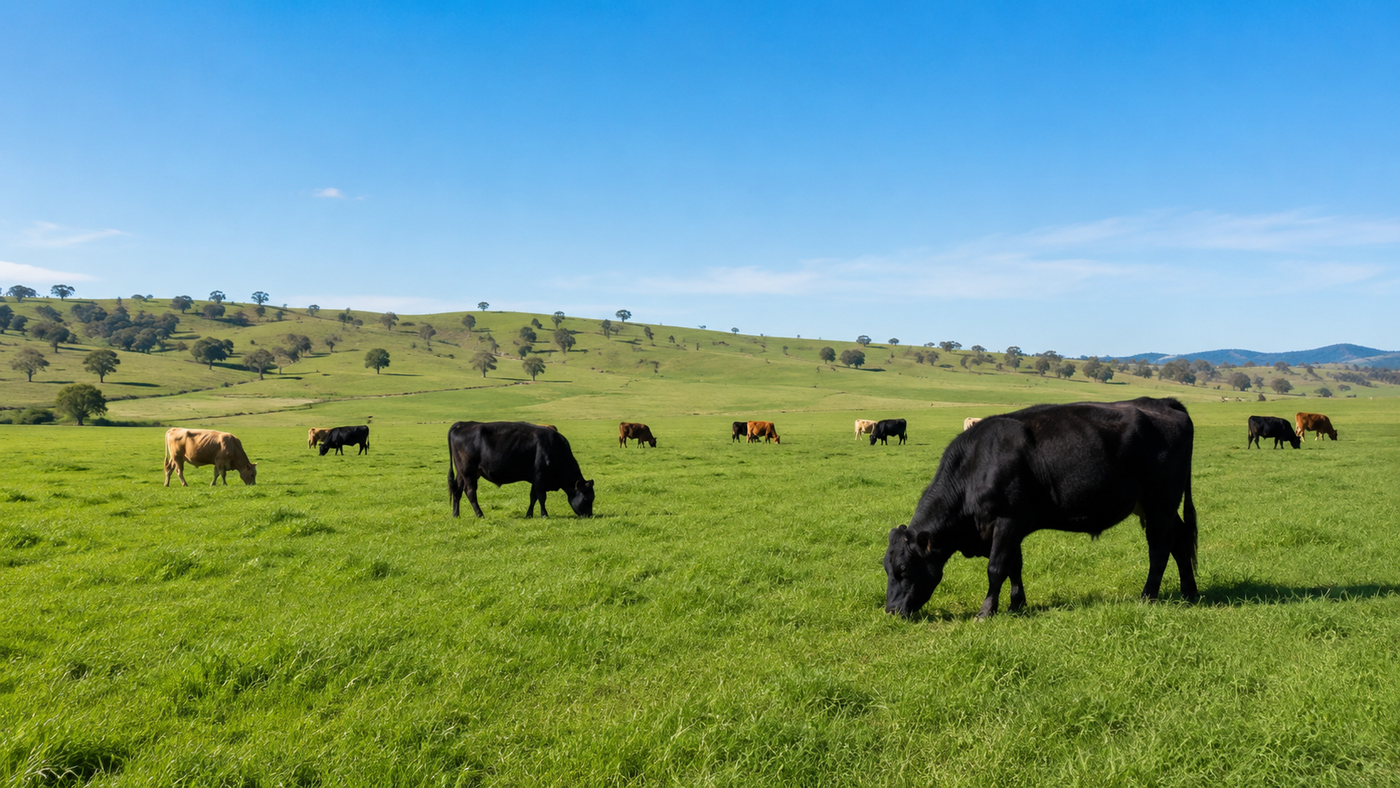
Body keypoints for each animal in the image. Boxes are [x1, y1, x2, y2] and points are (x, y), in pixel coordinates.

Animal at [448, 421, 595, 518]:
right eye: (586, 498)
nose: (589, 515)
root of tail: (463, 424)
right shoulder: (540, 479)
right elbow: (542, 497)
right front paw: (544, 515)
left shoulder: (535, 479)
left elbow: (533, 497)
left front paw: (529, 515)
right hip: (468, 472)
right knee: (470, 492)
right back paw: (480, 514)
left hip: (461, 473)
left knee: (457, 490)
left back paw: (456, 515)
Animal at [884, 397, 1198, 620]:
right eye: (886, 567)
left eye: (903, 569)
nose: (891, 610)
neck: (976, 465)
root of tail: (1163, 402)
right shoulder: (1010, 528)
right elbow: (1015, 566)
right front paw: (1016, 604)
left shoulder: (1007, 521)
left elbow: (996, 568)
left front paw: (986, 611)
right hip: (1157, 508)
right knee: (1181, 541)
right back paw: (1189, 592)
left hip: (1160, 503)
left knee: (1159, 548)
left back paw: (1148, 595)